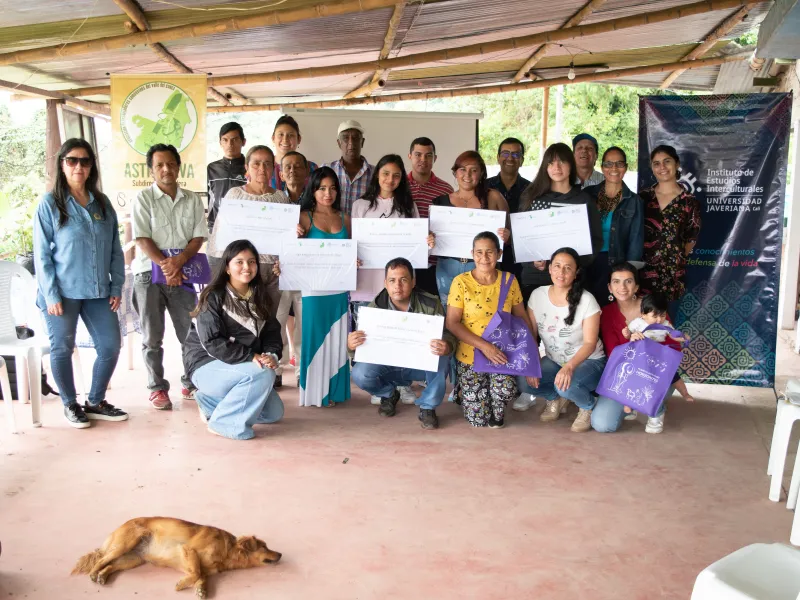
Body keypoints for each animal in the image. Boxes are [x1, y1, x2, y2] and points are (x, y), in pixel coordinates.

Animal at [70, 516, 282, 596]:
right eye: (264, 546)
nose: (280, 554)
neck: (227, 550)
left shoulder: (201, 566)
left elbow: (200, 575)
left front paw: (201, 589)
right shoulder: (188, 550)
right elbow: (196, 572)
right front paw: (183, 584)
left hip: (133, 559)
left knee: (111, 565)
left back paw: (103, 575)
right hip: (125, 544)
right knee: (101, 559)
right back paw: (95, 573)